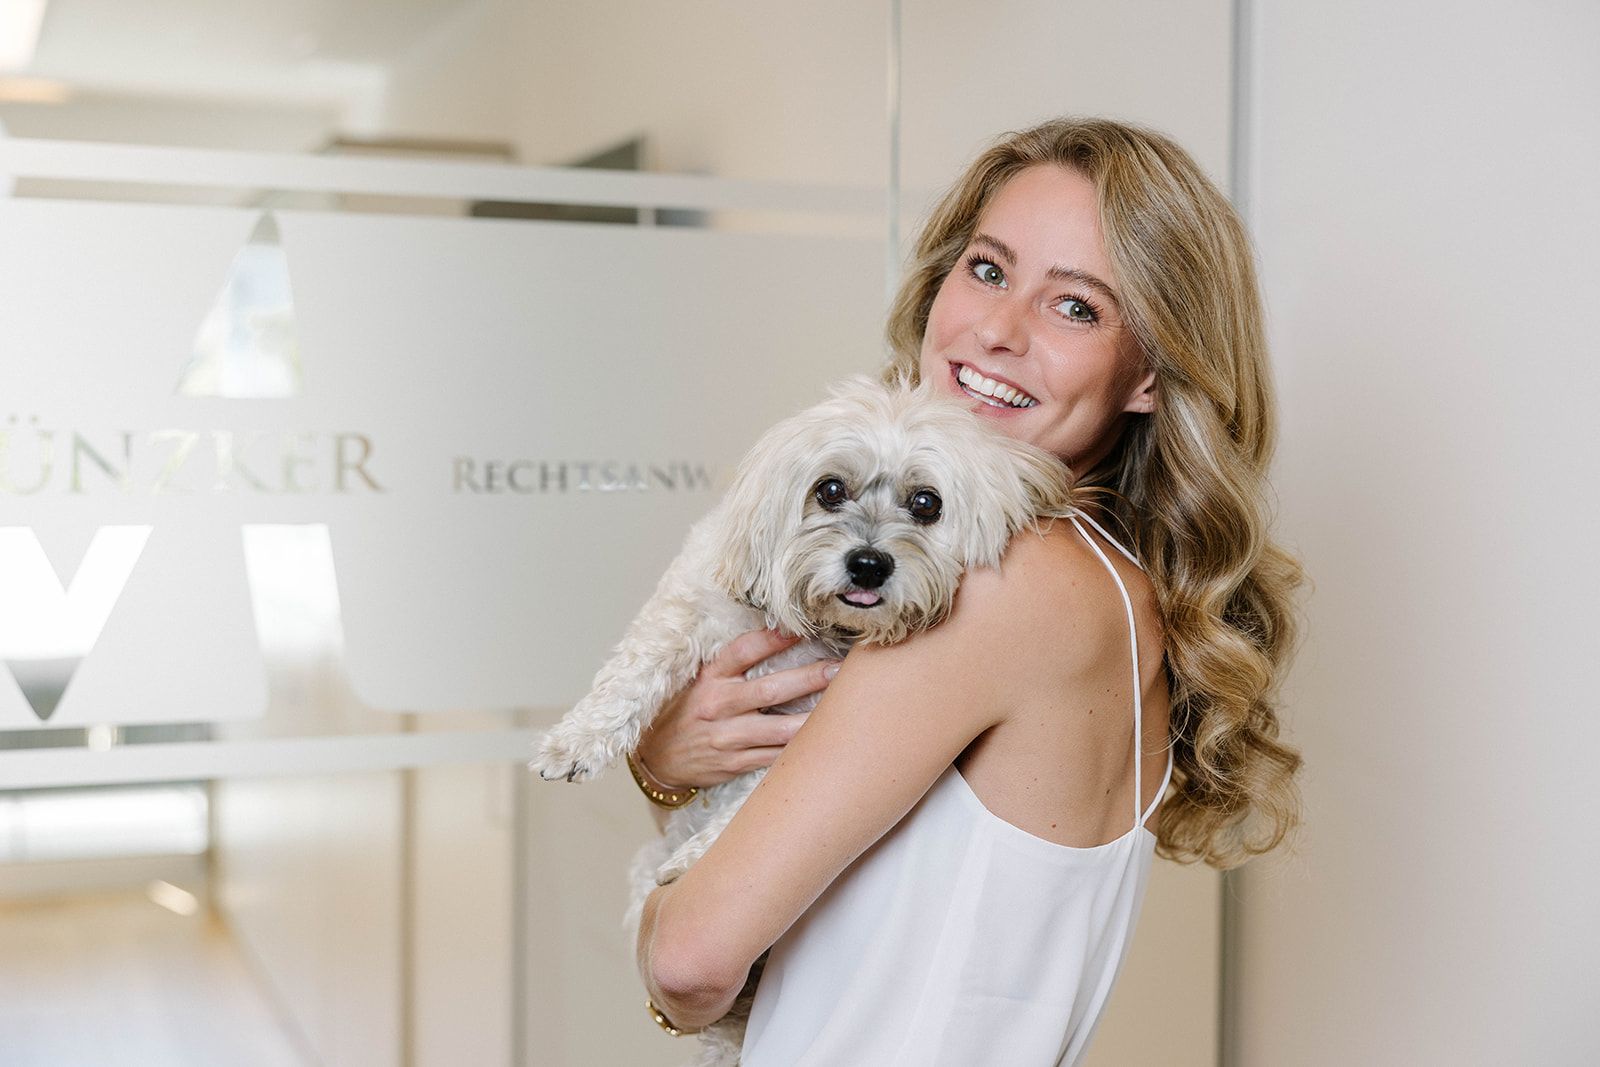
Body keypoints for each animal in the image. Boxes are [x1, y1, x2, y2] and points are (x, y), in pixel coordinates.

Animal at [530, 375, 1074, 1064]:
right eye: (830, 490)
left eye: (927, 503)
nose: (869, 564)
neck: (821, 627)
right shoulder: (690, 606)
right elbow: (637, 666)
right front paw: (575, 742)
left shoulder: (810, 732)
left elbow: (748, 803)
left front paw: (694, 861)